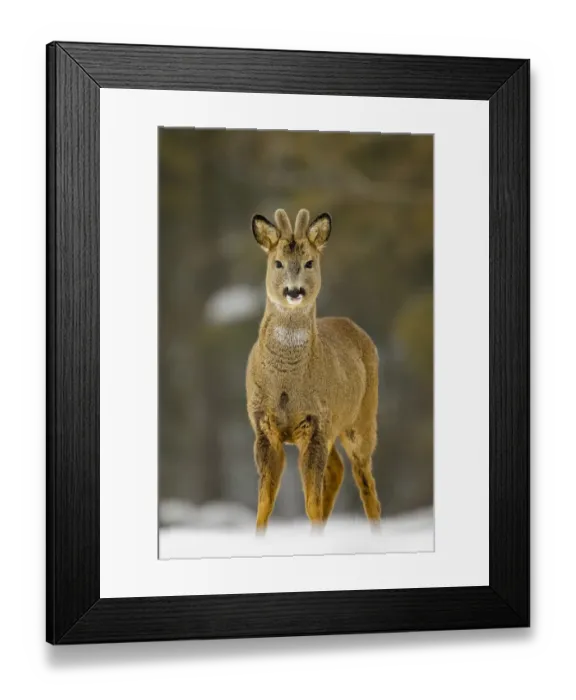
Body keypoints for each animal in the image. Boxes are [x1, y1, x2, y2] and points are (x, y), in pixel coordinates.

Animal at [245, 207, 382, 533]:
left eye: (309, 262)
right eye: (278, 262)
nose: (294, 291)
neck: (286, 384)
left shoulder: (316, 423)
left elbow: (311, 502)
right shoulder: (263, 425)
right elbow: (264, 503)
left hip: (362, 418)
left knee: (364, 478)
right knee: (337, 470)